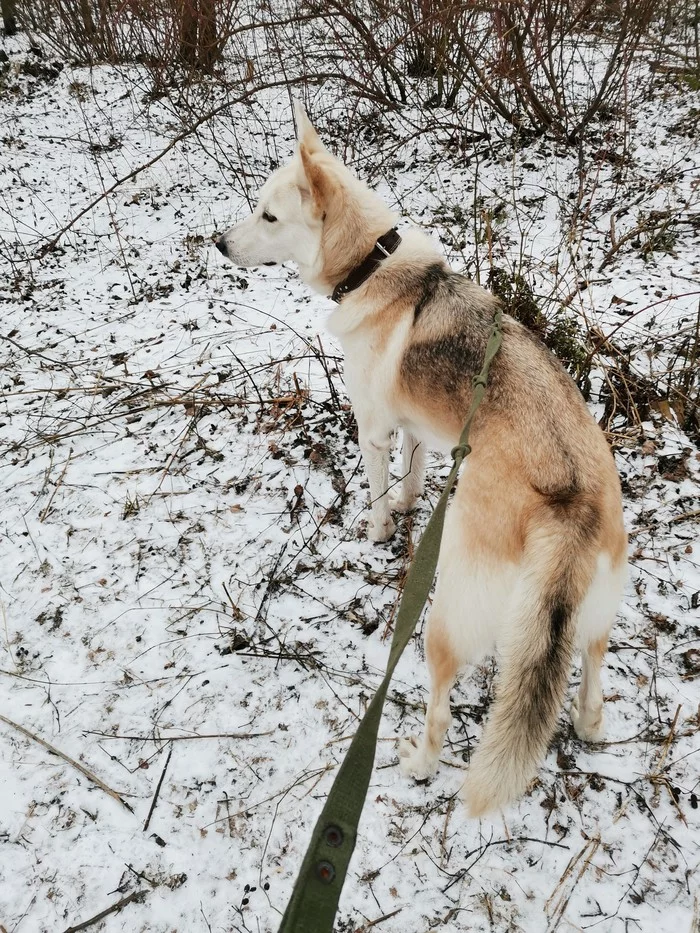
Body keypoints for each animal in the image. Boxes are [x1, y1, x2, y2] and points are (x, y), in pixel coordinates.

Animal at [216, 104, 628, 816]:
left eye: (268, 217)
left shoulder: (374, 430)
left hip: (446, 618)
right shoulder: (416, 431)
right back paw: (588, 724)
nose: (217, 243)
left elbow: (381, 494)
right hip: (593, 625)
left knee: (440, 706)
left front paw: (380, 532)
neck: (374, 264)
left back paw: (417, 761)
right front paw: (411, 508)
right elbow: (412, 477)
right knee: (590, 691)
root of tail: (569, 504)